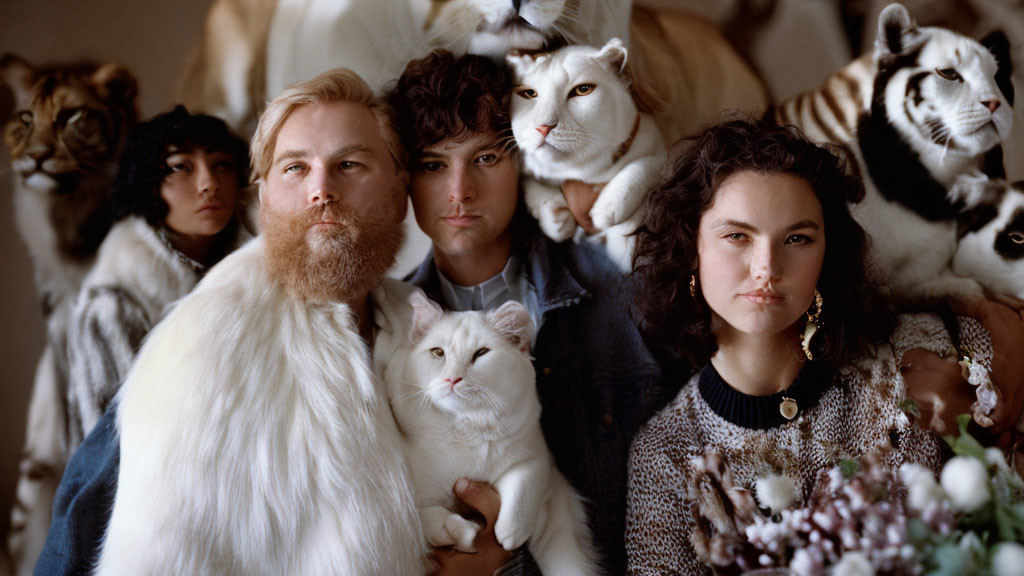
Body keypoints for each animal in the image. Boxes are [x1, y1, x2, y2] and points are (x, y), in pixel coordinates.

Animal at [389, 291, 598, 573]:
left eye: (481, 354)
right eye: (438, 353)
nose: (452, 379)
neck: (468, 428)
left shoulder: (538, 459)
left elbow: (523, 486)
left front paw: (510, 531)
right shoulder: (416, 501)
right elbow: (428, 518)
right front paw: (460, 533)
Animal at [509, 38, 667, 270]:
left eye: (582, 90)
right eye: (529, 93)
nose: (544, 126)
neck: (584, 172)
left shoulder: (667, 151)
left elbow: (647, 165)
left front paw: (610, 210)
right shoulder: (526, 168)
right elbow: (530, 182)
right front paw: (555, 218)